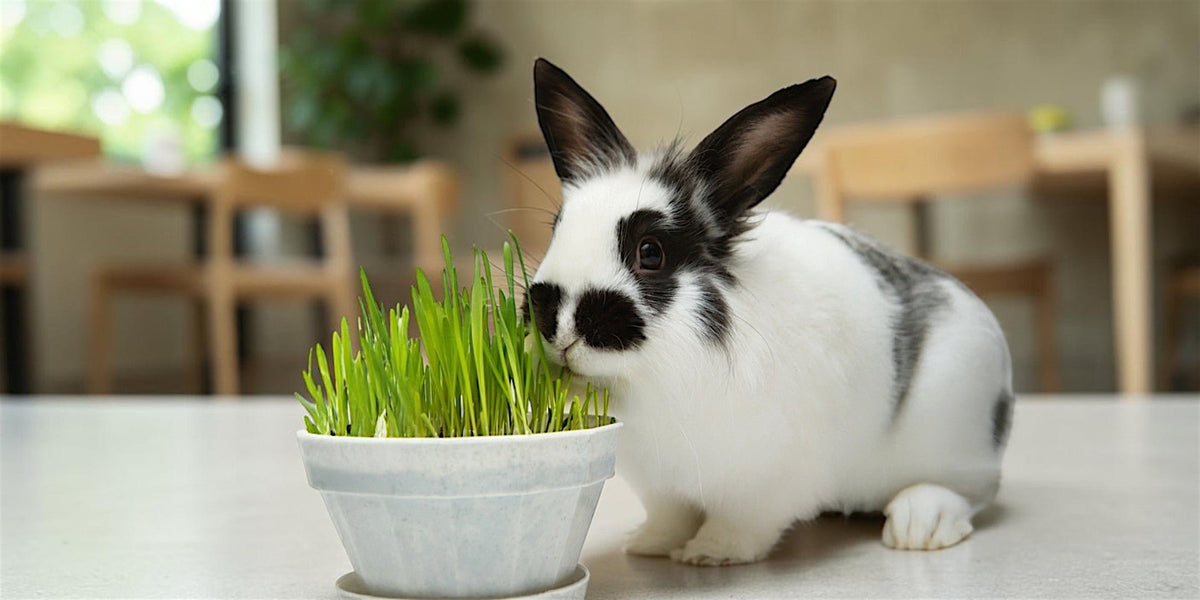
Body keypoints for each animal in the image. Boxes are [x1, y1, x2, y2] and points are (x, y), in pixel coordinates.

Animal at [523, 58, 1013, 566]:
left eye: (651, 252)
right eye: (557, 227)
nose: (557, 326)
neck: (654, 378)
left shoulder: (765, 484)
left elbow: (741, 525)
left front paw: (709, 554)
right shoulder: (663, 487)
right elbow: (670, 516)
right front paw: (649, 545)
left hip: (954, 432)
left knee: (966, 491)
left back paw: (920, 526)